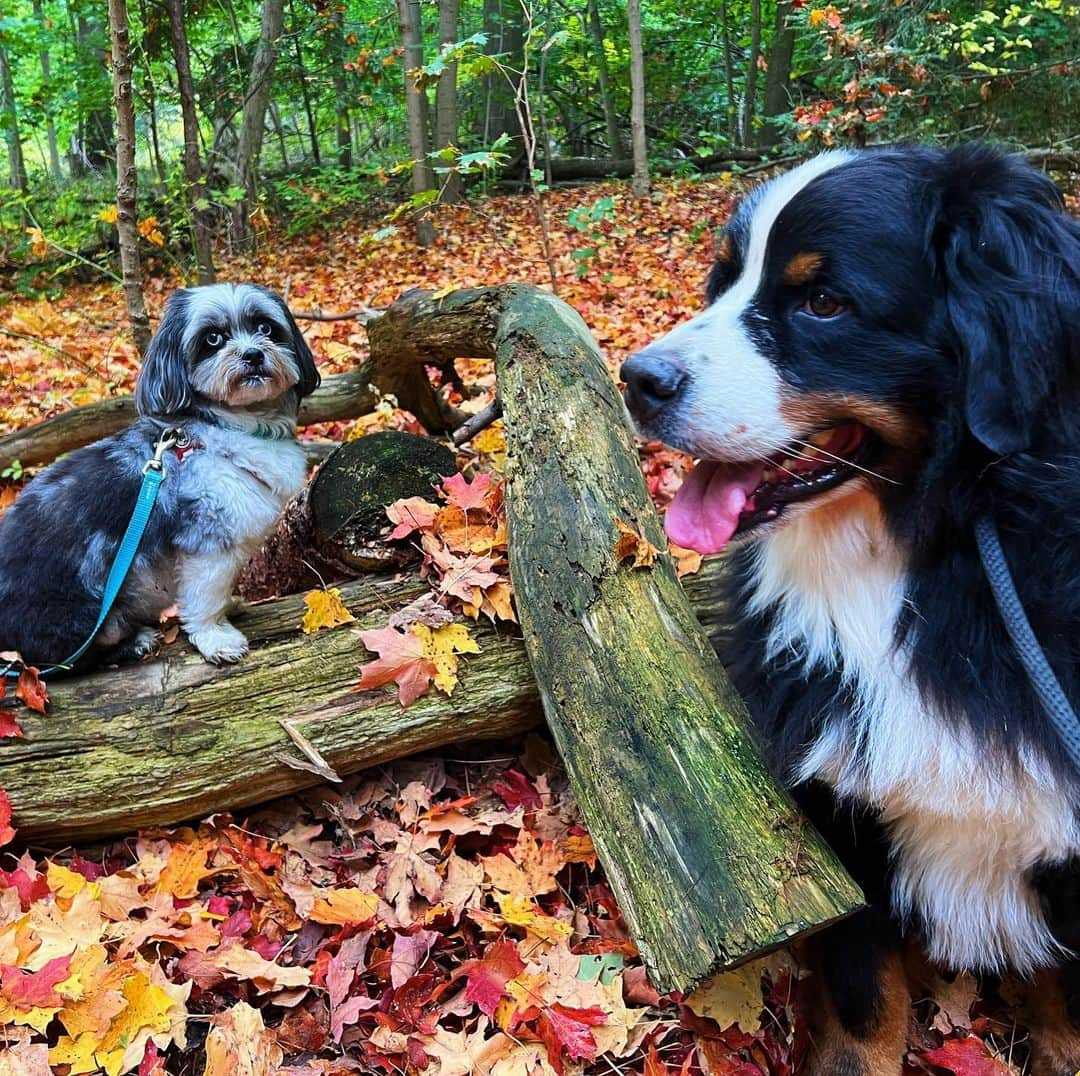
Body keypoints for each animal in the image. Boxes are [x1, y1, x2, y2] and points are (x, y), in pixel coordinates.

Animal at [0, 289, 317, 669]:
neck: (227, 425)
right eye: (213, 338)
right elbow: (207, 596)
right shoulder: (208, 544)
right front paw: (215, 636)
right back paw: (135, 641)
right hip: (85, 617)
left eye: (266, 328)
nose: (253, 354)